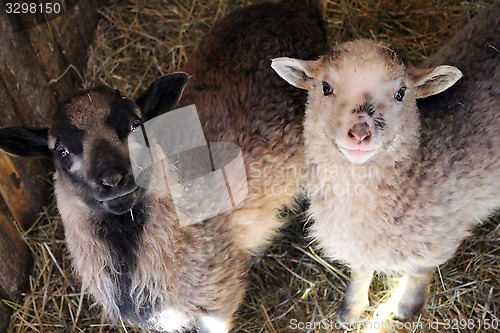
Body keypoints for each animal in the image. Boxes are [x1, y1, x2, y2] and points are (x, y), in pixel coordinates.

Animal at [272, 3, 498, 326]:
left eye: (401, 93)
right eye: (325, 87)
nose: (359, 133)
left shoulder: (437, 235)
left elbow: (418, 271)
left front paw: (406, 308)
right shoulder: (360, 241)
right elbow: (360, 270)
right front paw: (350, 311)